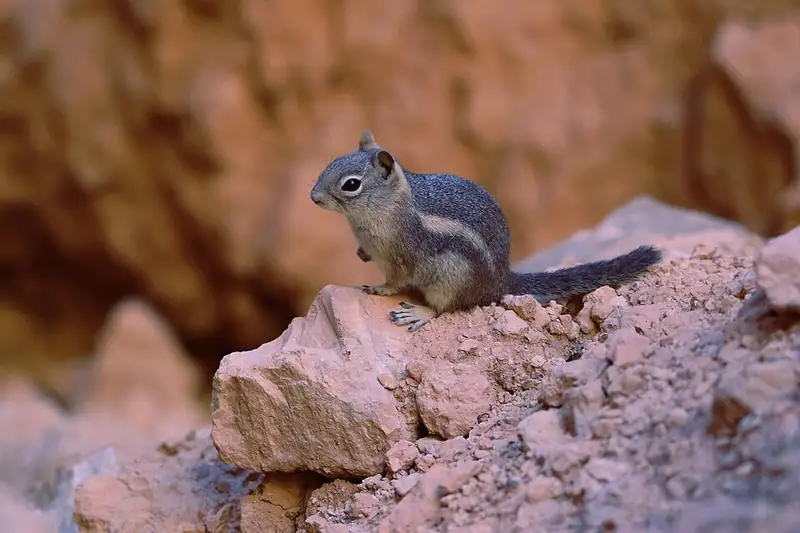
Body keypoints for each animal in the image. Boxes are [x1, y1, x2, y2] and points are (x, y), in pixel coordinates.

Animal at [310, 130, 662, 332]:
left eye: (351, 184)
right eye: (331, 162)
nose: (313, 197)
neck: (390, 204)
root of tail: (500, 281)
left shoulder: (400, 257)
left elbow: (396, 281)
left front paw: (380, 289)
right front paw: (360, 254)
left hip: (450, 278)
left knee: (445, 307)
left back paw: (420, 313)